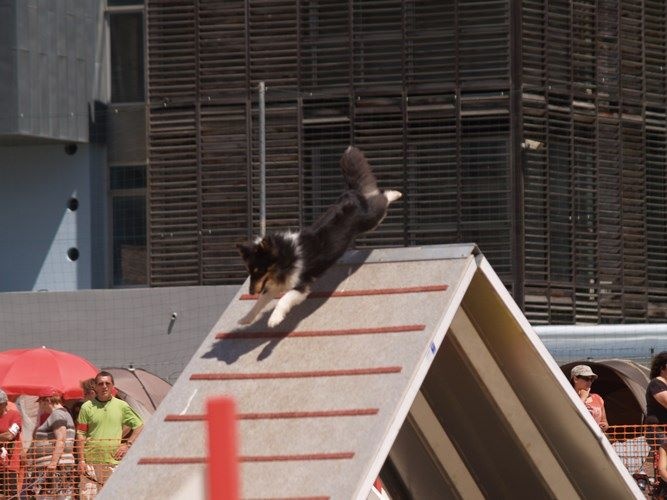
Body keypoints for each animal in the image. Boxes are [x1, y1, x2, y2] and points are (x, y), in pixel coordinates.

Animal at [236, 146, 402, 328]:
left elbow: (283, 300)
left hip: (371, 220)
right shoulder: (275, 285)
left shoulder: (301, 285)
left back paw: (396, 193)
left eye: (259, 270)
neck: (286, 256)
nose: (251, 292)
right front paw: (245, 319)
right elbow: (260, 302)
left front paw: (274, 320)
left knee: (381, 199)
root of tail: (351, 192)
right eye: (250, 271)